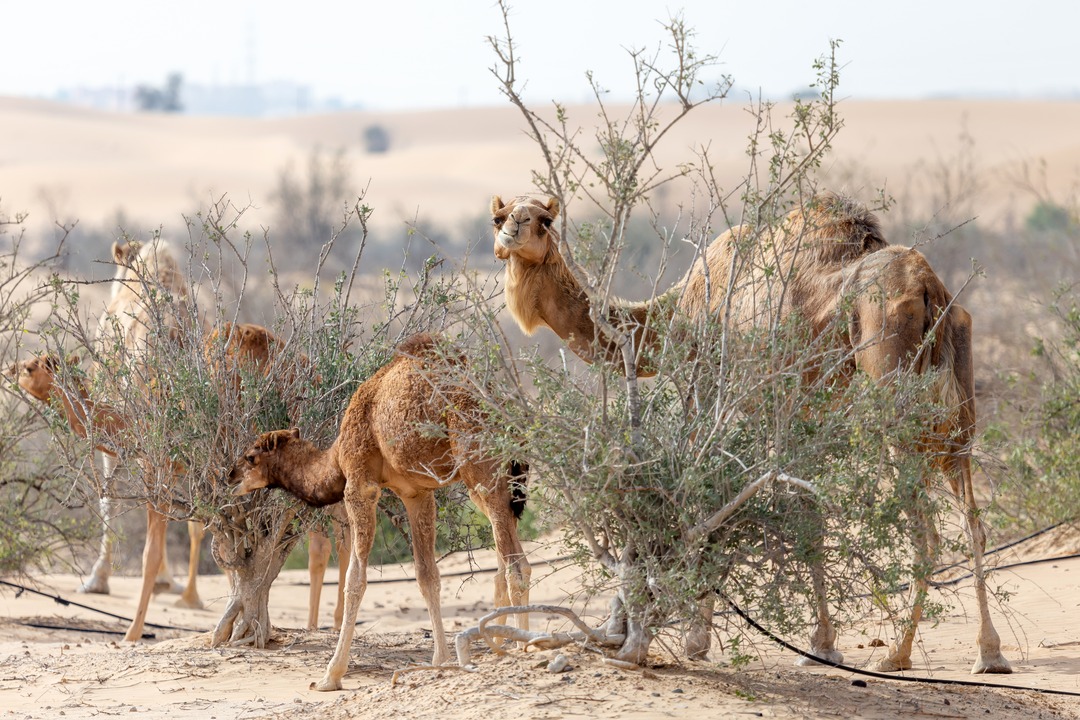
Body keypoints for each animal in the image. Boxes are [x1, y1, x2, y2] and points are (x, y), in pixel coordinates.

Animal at [228, 332, 531, 690]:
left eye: (250, 457)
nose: (230, 476)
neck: (335, 458)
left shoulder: (360, 484)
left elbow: (355, 579)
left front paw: (331, 674)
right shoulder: (416, 493)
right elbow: (427, 575)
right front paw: (439, 660)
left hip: (483, 471)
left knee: (515, 565)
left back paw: (522, 645)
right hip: (502, 483)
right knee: (514, 556)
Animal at [490, 193, 1010, 677]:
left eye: (544, 219)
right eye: (499, 216)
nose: (511, 231)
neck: (677, 312)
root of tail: (927, 289)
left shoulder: (711, 394)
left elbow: (712, 504)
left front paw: (702, 643)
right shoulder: (800, 414)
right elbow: (803, 515)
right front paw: (819, 644)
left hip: (889, 390)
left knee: (926, 528)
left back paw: (897, 654)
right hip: (958, 409)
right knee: (972, 521)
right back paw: (989, 654)